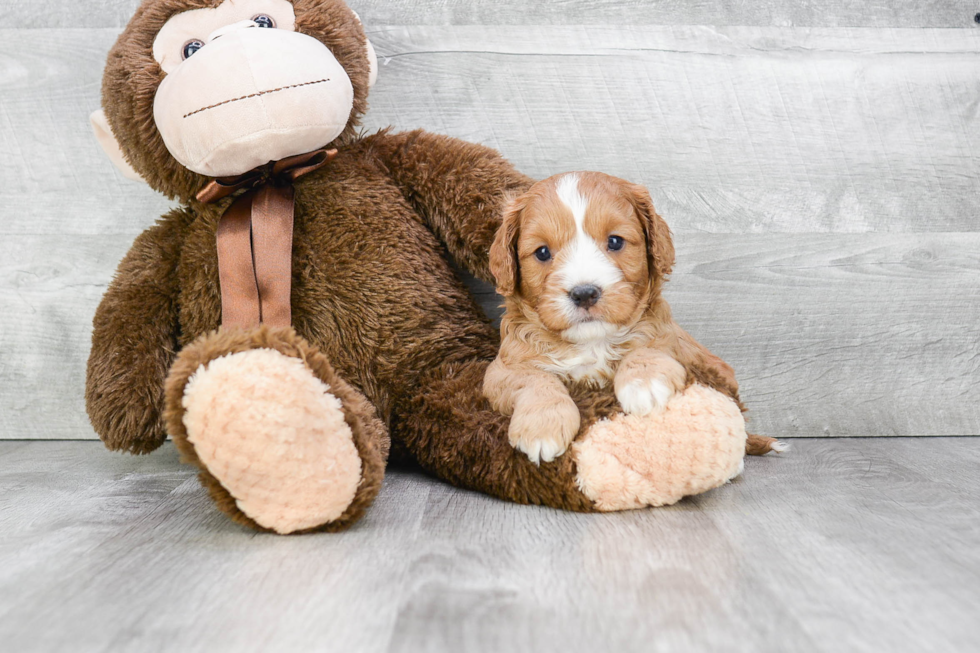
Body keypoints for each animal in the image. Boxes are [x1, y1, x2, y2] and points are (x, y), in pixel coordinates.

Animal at [484, 172, 780, 464]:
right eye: (542, 252)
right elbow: (533, 378)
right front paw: (542, 427)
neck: (593, 342)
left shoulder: (679, 345)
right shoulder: (502, 369)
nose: (584, 293)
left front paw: (644, 383)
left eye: (615, 241)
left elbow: (650, 347)